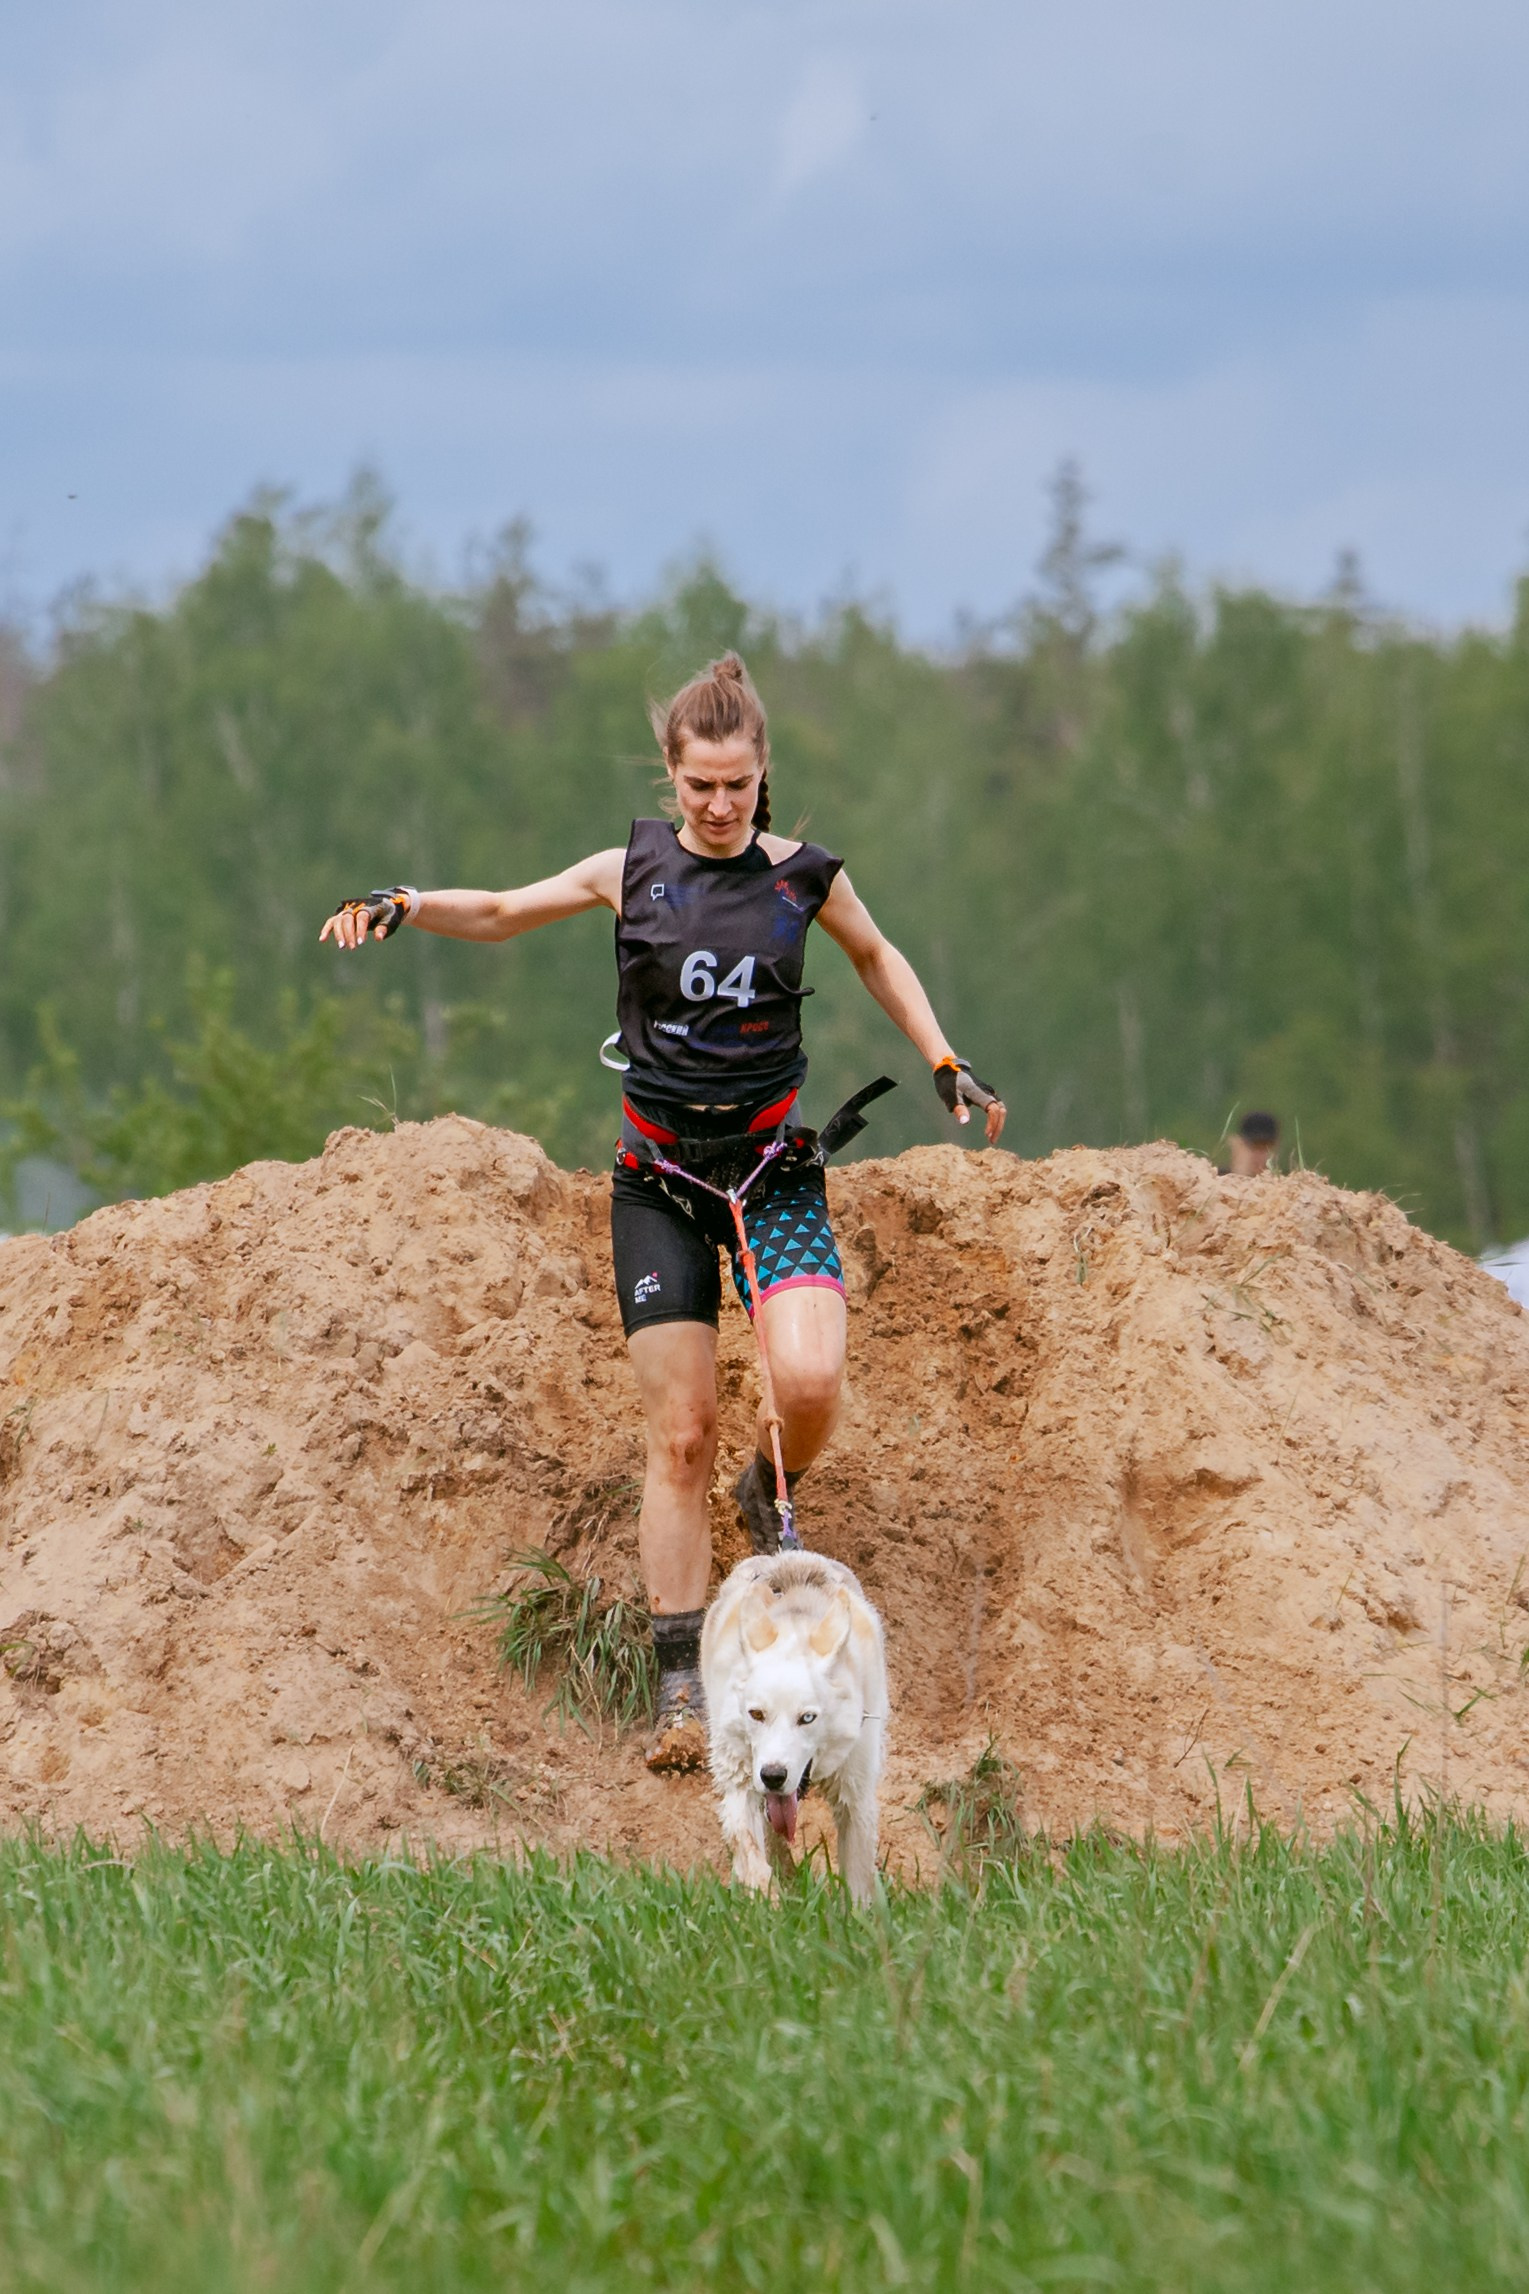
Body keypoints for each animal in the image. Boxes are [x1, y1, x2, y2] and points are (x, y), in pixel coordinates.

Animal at [701, 1550, 887, 1905]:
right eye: (756, 1714)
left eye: (807, 1718)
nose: (773, 1776)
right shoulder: (740, 1784)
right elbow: (753, 1860)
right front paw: (769, 1907)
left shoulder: (855, 1797)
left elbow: (858, 1885)